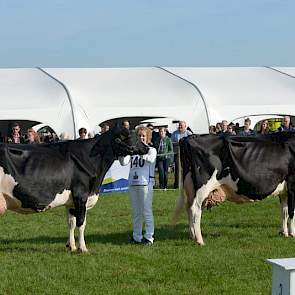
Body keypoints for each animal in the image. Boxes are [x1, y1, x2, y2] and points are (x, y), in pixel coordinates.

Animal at [0, 126, 148, 252]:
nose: (147, 147)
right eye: (131, 136)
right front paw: (83, 248)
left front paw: (71, 246)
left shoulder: (71, 201)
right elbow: (81, 223)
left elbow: (71, 223)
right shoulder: (81, 195)